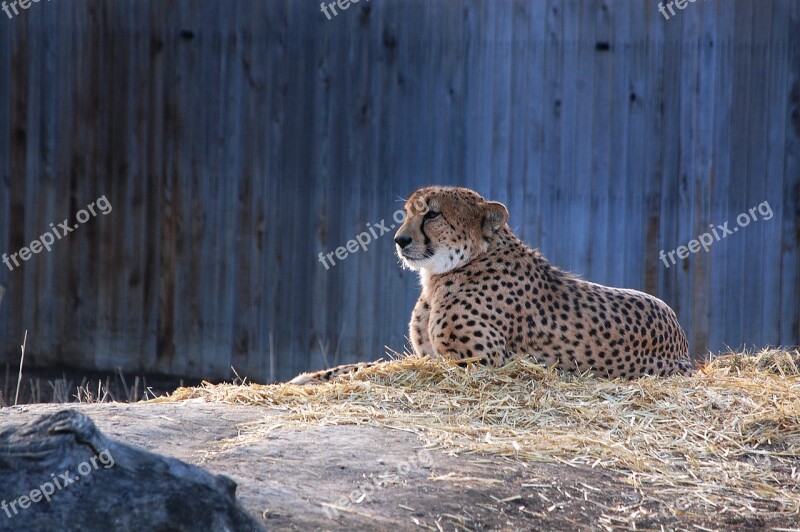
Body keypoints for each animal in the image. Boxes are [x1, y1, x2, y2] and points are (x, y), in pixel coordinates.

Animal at [290, 186, 692, 382]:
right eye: (405, 213)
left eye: (432, 214)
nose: (399, 240)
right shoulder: (432, 355)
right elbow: (367, 362)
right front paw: (311, 376)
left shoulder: (478, 362)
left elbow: (385, 368)